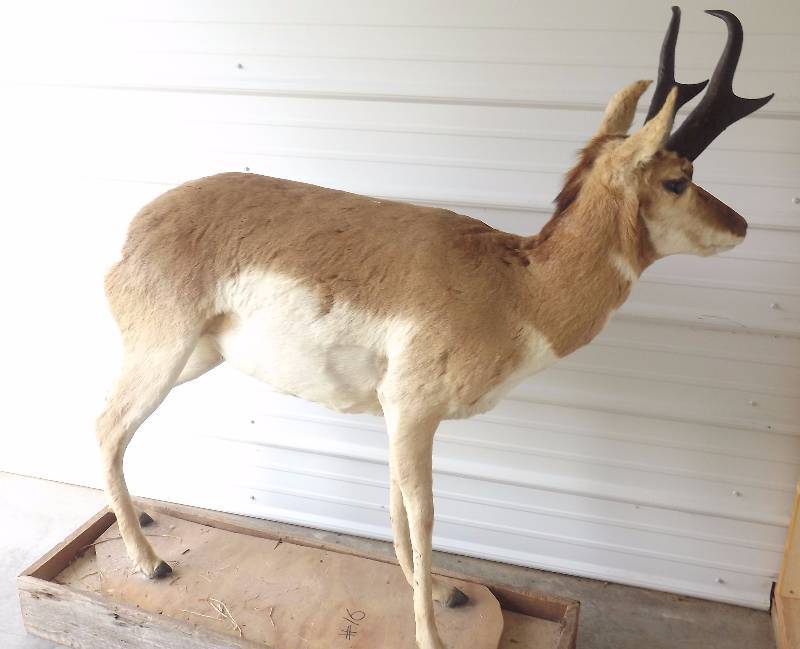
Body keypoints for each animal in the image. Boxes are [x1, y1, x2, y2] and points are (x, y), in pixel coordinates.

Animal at [96, 8, 772, 649]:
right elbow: (422, 519)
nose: (741, 225)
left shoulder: (397, 417)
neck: (518, 285)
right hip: (163, 355)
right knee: (108, 426)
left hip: (196, 357)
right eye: (676, 179)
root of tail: (138, 226)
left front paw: (447, 593)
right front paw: (431, 634)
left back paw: (148, 527)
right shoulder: (412, 412)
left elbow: (397, 511)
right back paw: (151, 563)